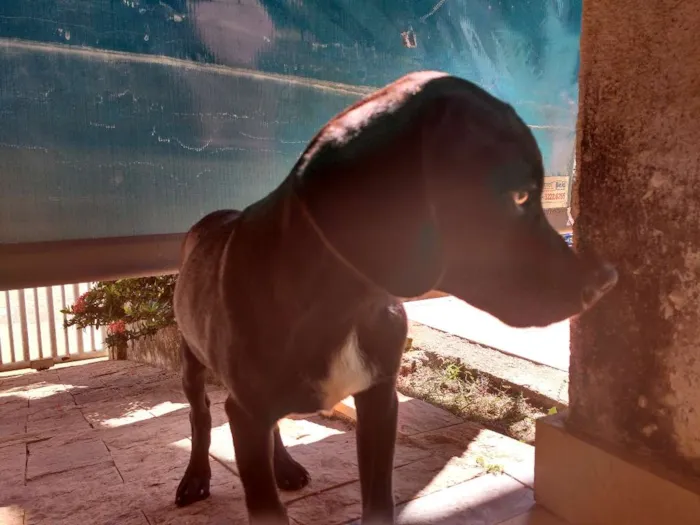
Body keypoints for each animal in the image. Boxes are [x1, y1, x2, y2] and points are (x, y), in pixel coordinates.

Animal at [172, 70, 616, 524]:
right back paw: (196, 476)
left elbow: (379, 500)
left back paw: (285, 465)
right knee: (199, 414)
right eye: (520, 196)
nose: (606, 280)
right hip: (191, 361)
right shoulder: (247, 415)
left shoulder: (380, 401)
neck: (343, 308)